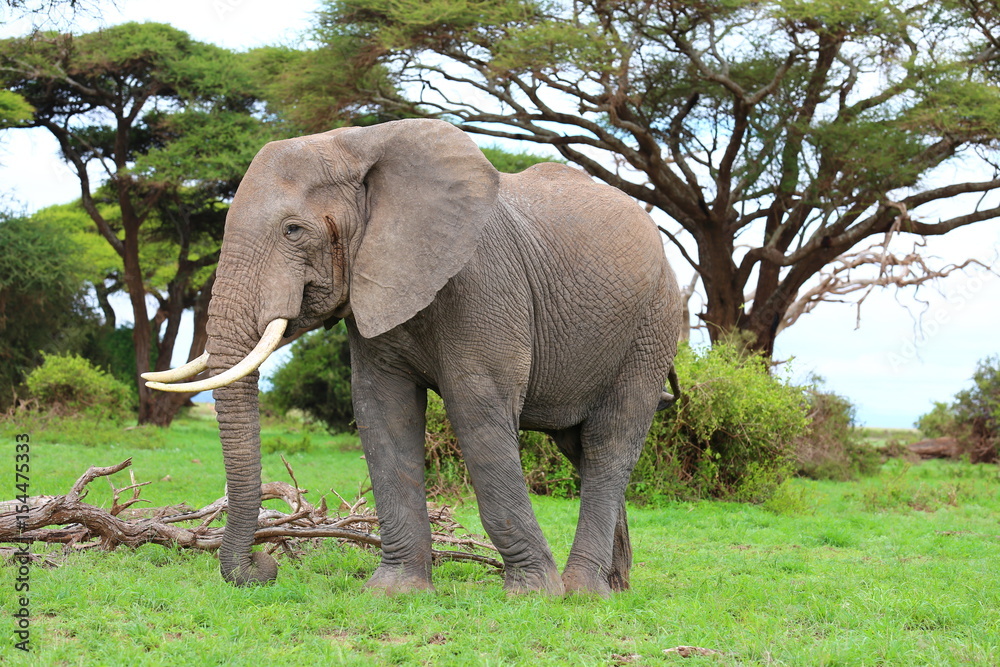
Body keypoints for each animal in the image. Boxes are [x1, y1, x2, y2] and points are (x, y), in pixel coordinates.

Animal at [144, 118, 682, 596]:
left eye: (293, 230)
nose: (264, 566)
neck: (357, 144)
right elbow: (383, 412)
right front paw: (394, 592)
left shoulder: (483, 283)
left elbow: (477, 411)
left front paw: (533, 594)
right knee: (581, 448)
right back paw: (614, 588)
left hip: (653, 323)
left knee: (610, 442)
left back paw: (584, 593)